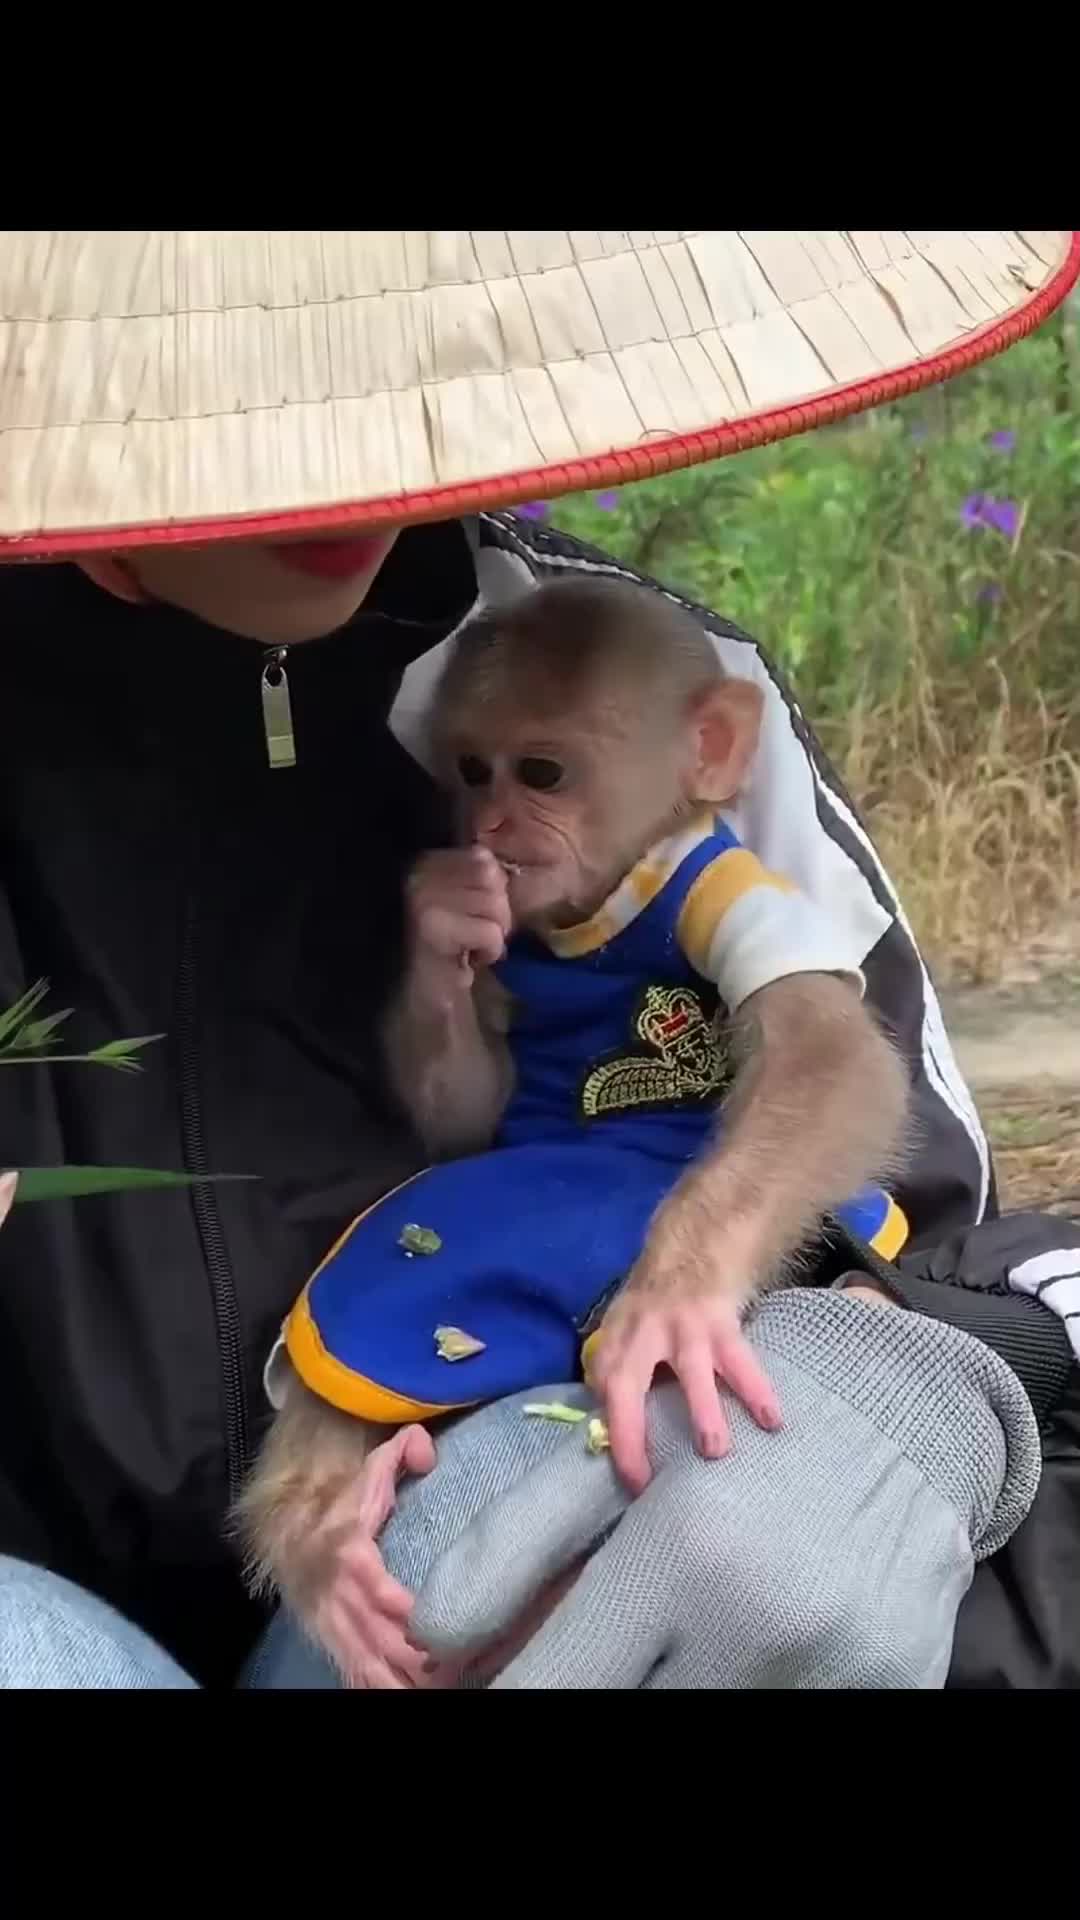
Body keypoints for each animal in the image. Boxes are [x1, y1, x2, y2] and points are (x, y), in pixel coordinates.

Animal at [231, 575, 912, 1689]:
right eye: (473, 769)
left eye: (542, 772)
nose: (496, 819)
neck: (593, 916)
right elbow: (468, 1123)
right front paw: (443, 917)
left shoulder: (722, 883)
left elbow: (825, 1052)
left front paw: (676, 1300)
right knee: (385, 1288)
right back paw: (323, 1532)